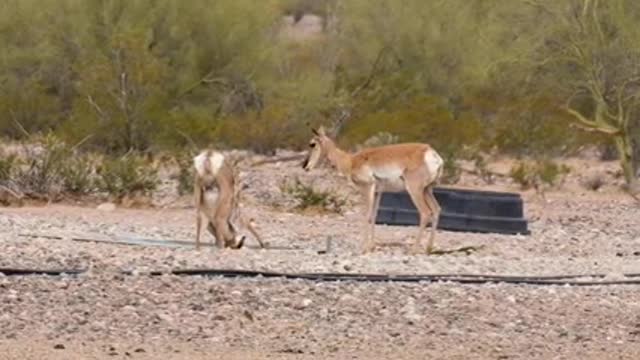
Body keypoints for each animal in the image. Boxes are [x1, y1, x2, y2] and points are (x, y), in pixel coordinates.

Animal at [302, 126, 442, 253]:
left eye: (312, 144)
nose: (305, 166)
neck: (351, 161)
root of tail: (430, 152)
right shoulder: (377, 192)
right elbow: (374, 215)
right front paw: (371, 246)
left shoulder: (367, 187)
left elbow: (365, 214)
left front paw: (363, 248)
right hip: (427, 190)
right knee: (436, 209)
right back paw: (429, 248)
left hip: (415, 190)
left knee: (425, 212)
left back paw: (414, 249)